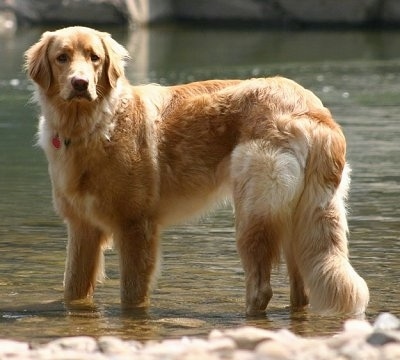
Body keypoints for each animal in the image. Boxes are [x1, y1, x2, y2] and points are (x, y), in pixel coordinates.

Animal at [25, 26, 368, 316]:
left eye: (94, 58)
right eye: (62, 57)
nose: (80, 84)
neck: (93, 126)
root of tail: (312, 110)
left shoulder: (136, 228)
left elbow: (131, 296)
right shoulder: (82, 228)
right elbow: (73, 290)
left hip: (254, 215)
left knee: (261, 289)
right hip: (297, 220)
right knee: (301, 292)